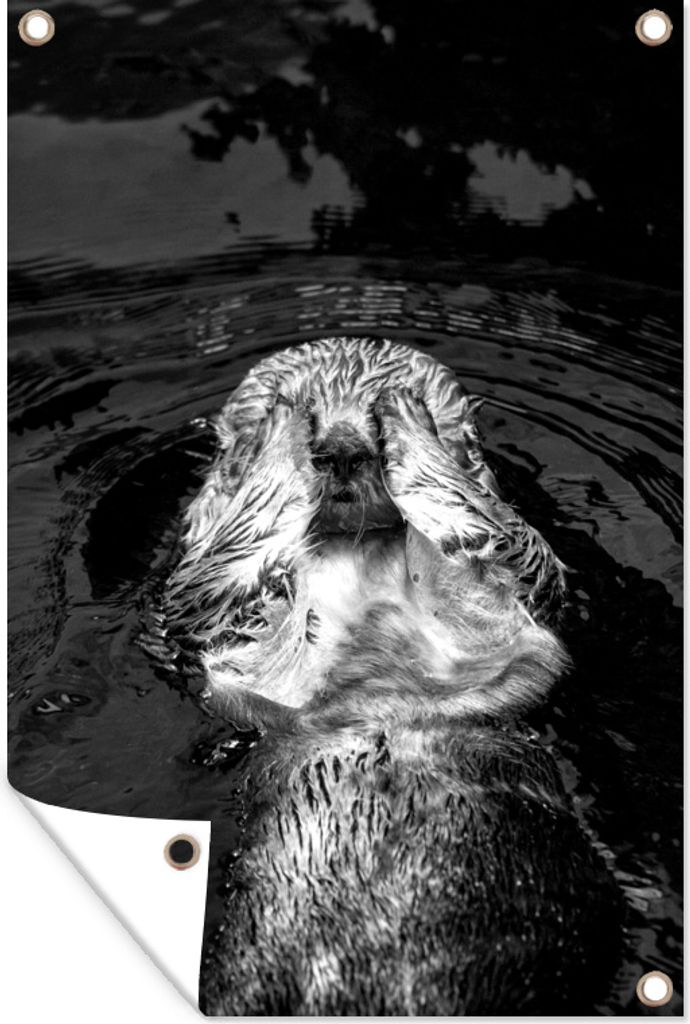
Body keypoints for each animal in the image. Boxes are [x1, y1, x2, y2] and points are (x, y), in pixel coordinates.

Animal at [159, 338, 621, 1015]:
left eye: (371, 413)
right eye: (309, 402)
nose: (343, 448)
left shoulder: (517, 597)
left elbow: (484, 526)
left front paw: (410, 418)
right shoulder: (210, 616)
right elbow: (229, 555)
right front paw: (279, 428)